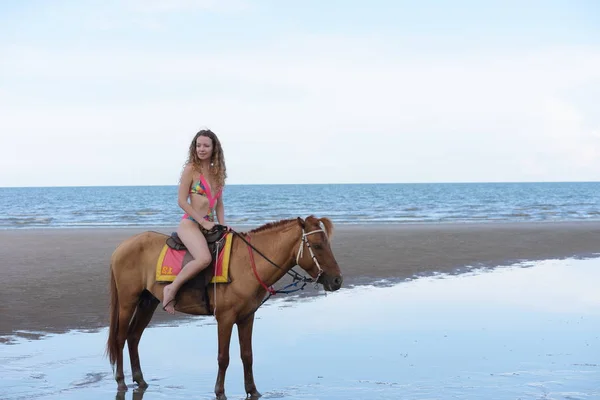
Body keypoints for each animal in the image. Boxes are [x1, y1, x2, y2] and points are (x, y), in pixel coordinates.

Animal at [106, 217, 342, 398]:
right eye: (318, 246)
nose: (337, 280)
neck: (247, 263)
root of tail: (121, 248)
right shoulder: (225, 318)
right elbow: (223, 357)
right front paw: (220, 391)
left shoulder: (247, 317)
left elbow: (247, 355)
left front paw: (252, 390)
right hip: (128, 302)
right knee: (120, 338)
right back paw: (121, 381)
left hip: (148, 302)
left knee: (134, 337)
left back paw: (140, 380)